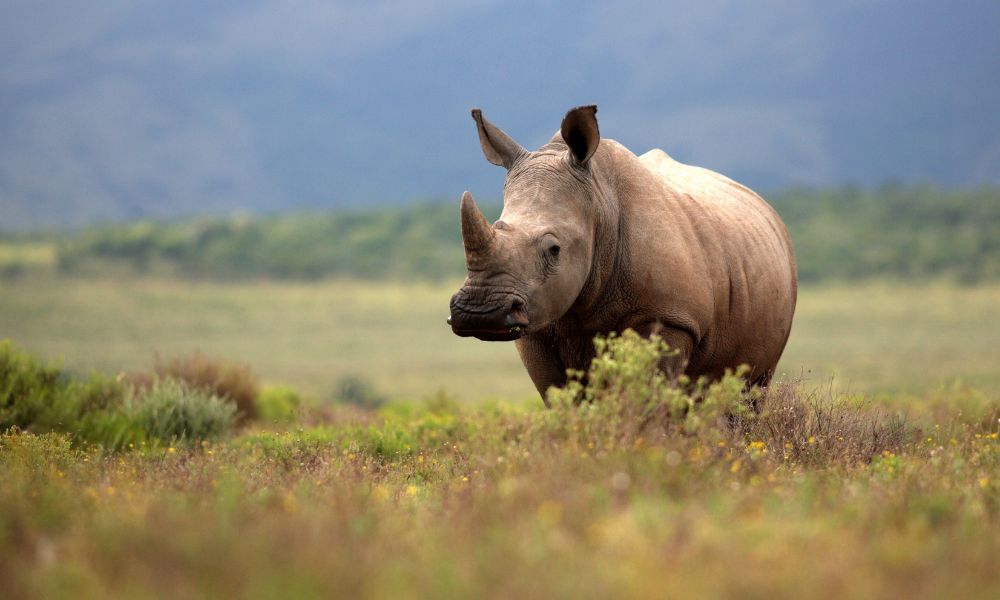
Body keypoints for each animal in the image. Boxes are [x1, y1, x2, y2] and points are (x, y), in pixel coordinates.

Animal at [448, 105, 797, 403]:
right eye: (497, 226)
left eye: (554, 249)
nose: (480, 313)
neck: (600, 203)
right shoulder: (537, 324)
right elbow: (562, 399)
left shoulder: (669, 318)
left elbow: (648, 398)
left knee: (748, 392)